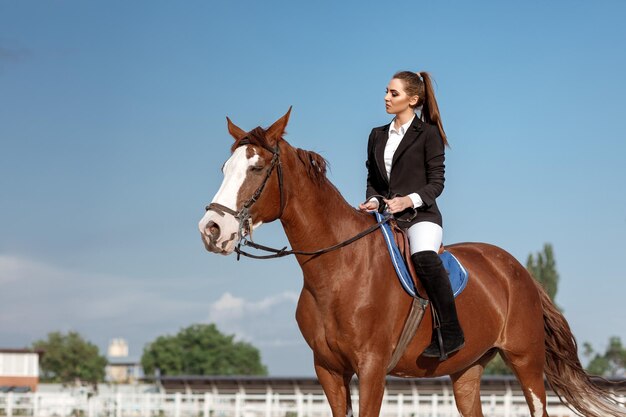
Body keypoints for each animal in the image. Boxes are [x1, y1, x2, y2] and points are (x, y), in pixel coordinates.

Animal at [197, 109, 620, 414]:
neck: (337, 269)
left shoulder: (371, 369)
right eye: (224, 169)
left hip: (526, 362)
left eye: (256, 168)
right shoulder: (328, 370)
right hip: (466, 371)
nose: (212, 229)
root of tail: (519, 272)